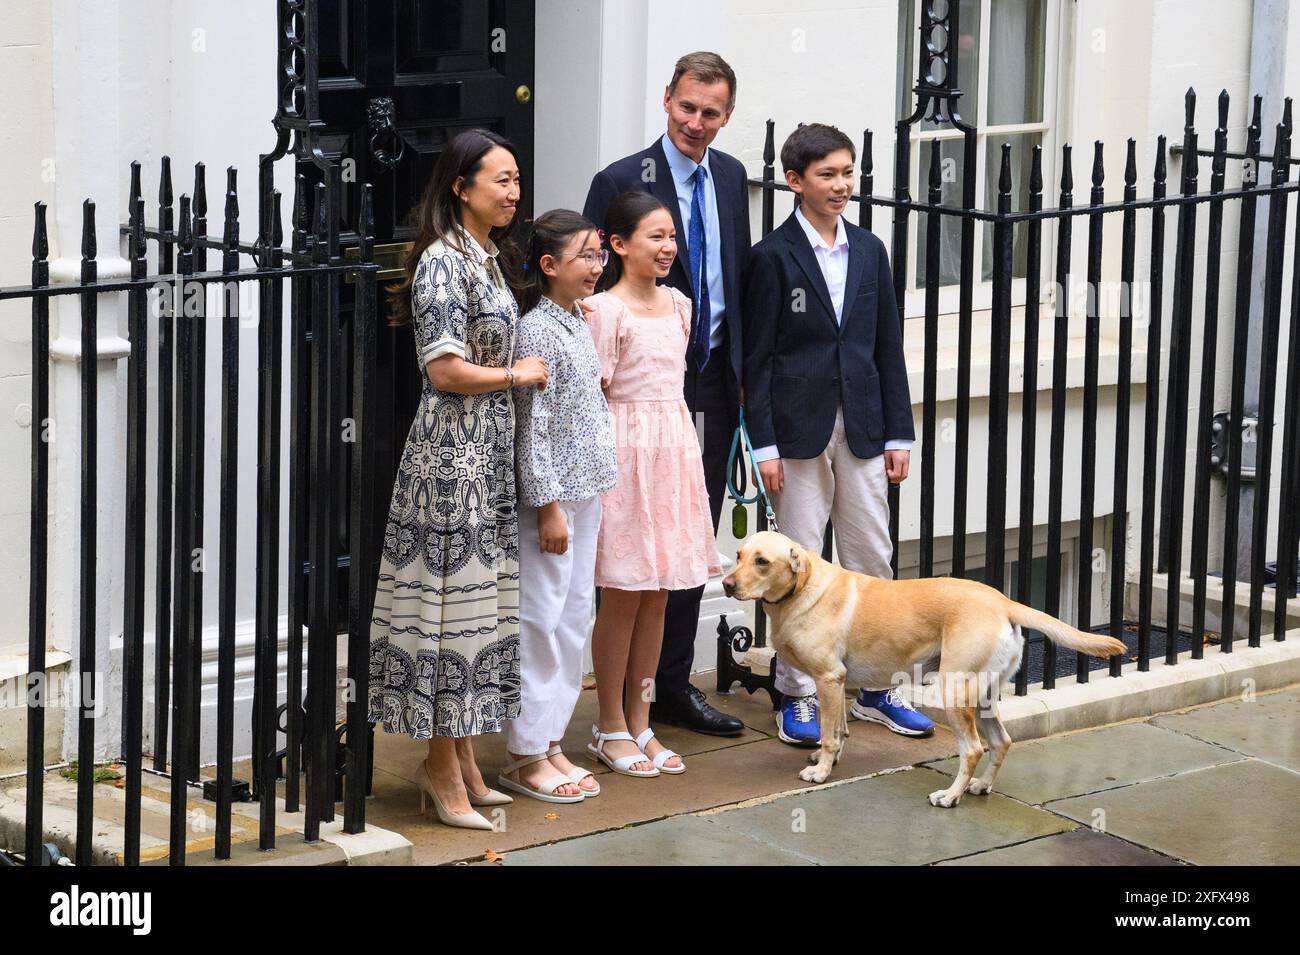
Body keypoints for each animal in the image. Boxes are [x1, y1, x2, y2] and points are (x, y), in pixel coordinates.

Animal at [722, 530, 1128, 805]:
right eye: (739, 555)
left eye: (762, 561)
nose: (724, 584)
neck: (802, 589)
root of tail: (1002, 601)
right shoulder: (835, 683)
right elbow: (837, 729)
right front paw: (830, 759)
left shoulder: (827, 677)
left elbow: (828, 732)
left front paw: (820, 771)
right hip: (983, 696)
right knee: (1002, 741)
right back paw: (981, 786)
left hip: (955, 691)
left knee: (973, 749)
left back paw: (950, 796)